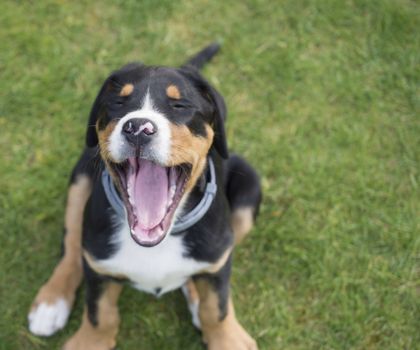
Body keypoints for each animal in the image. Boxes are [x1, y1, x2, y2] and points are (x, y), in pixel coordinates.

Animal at [27, 43, 260, 350]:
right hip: (80, 179)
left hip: (249, 191)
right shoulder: (99, 265)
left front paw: (226, 337)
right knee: (72, 246)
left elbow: (216, 307)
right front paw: (90, 340)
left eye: (180, 106)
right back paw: (51, 302)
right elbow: (99, 312)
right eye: (118, 103)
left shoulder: (219, 255)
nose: (138, 127)